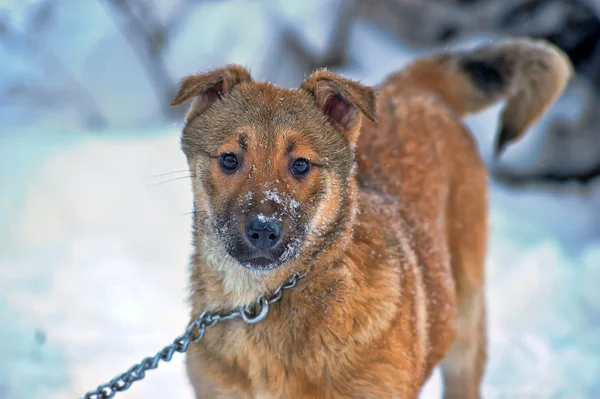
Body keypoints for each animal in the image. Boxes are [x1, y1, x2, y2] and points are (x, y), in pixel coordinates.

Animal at [170, 38, 572, 399]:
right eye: (229, 160)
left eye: (300, 164)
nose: (264, 231)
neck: (259, 301)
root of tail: (409, 88)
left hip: (466, 328)